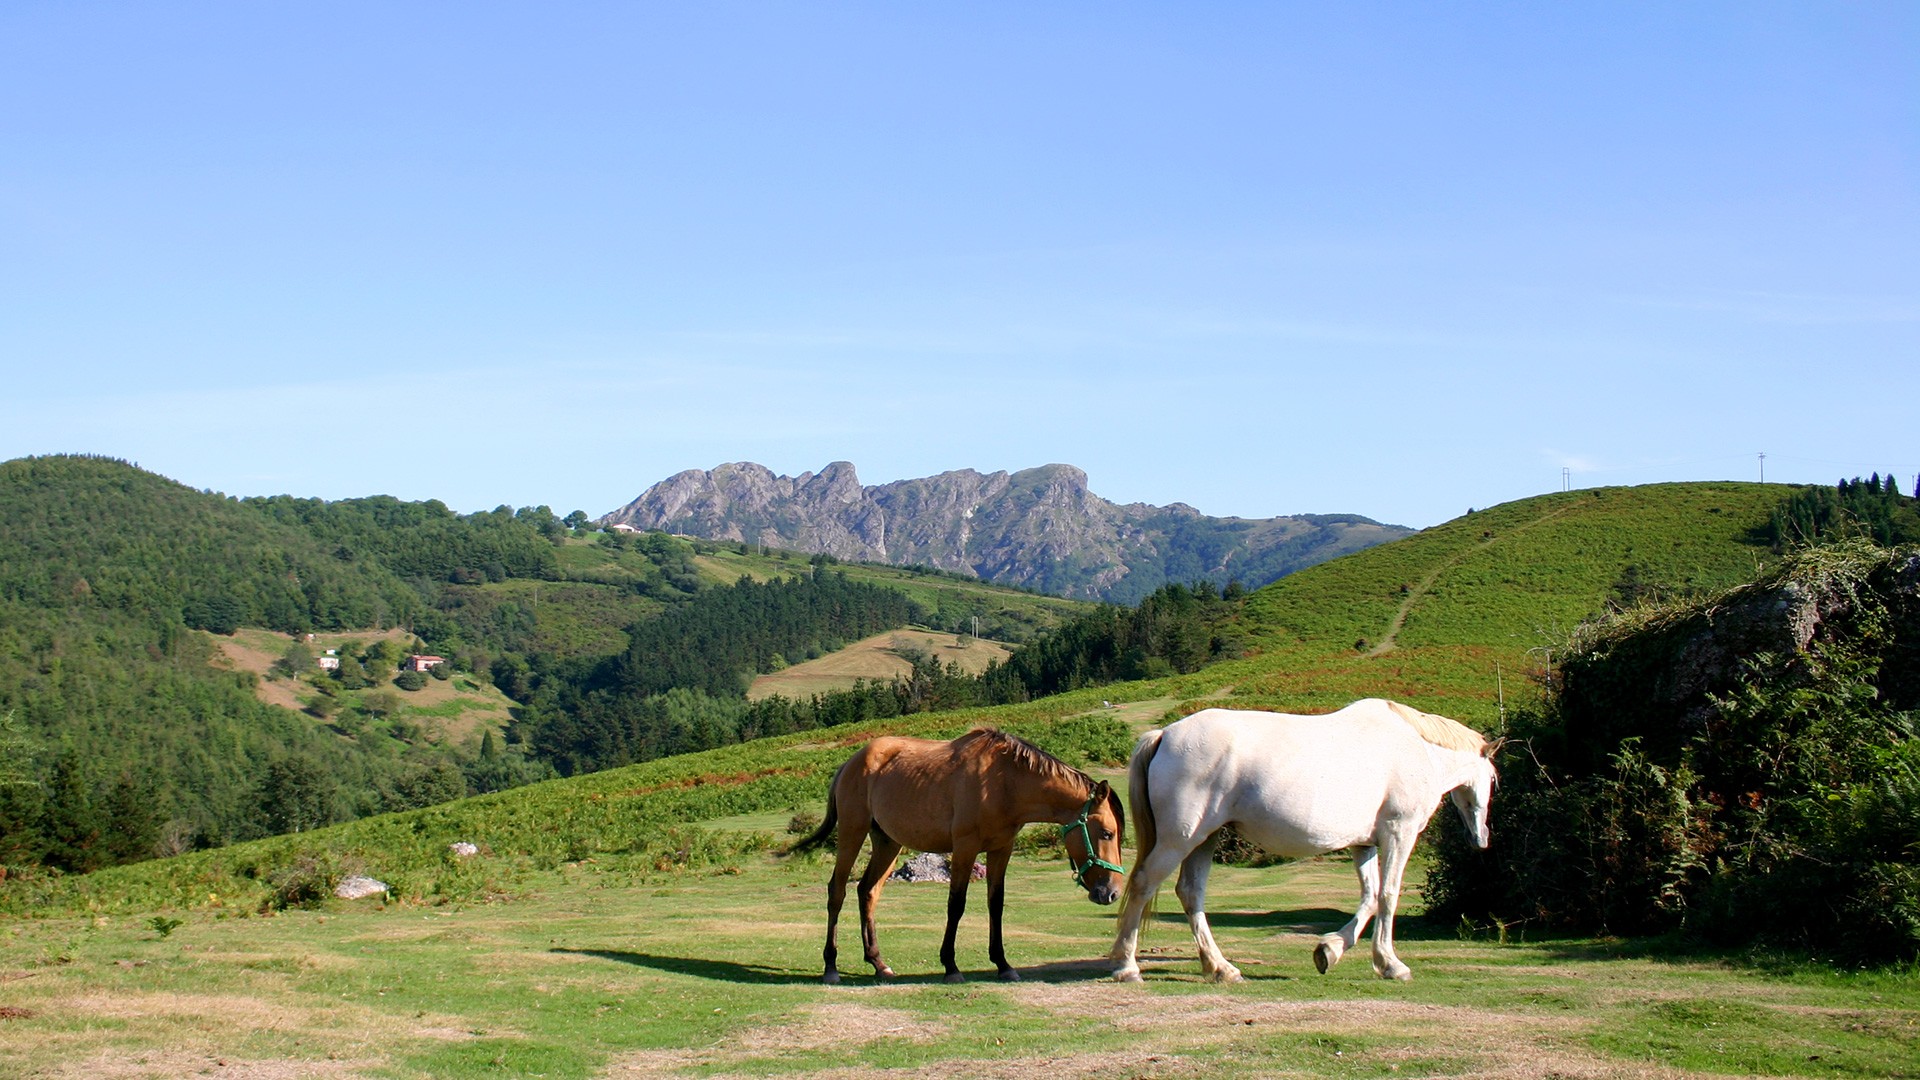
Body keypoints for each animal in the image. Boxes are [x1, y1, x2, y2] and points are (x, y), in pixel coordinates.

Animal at [789, 728, 1126, 984]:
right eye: (1107, 833)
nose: (1110, 893)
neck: (1004, 781)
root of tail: (851, 762)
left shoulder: (1001, 849)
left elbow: (996, 904)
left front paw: (1003, 964)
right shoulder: (965, 847)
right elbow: (957, 905)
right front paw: (950, 966)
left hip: (887, 842)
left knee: (867, 891)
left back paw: (878, 962)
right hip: (852, 832)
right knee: (837, 891)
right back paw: (831, 967)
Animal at [1107, 699, 1498, 983]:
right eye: (1493, 778)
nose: (1481, 838)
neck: (1416, 749)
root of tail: (1165, 734)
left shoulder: (1365, 845)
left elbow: (1370, 898)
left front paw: (1329, 952)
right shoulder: (1398, 833)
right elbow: (1388, 896)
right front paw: (1391, 964)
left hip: (1205, 838)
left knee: (1191, 894)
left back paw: (1221, 968)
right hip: (1180, 839)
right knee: (1143, 884)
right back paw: (1127, 967)